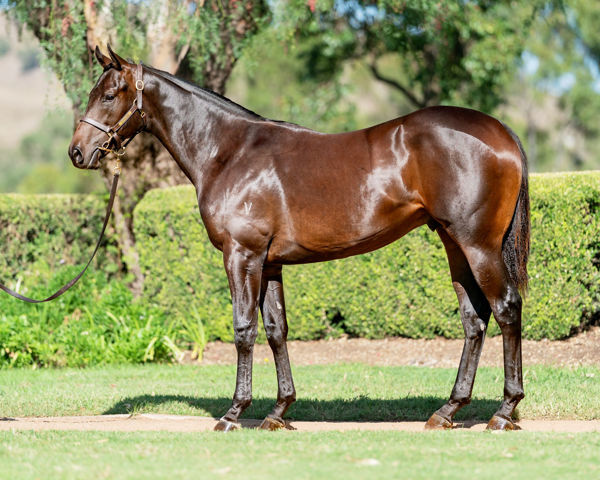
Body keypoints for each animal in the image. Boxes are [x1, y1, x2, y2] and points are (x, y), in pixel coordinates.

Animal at [69, 47, 528, 434]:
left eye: (108, 95)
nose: (77, 153)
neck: (229, 152)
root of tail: (501, 132)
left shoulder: (242, 255)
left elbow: (244, 329)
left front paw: (234, 413)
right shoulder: (269, 263)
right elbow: (276, 330)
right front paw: (278, 412)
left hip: (478, 245)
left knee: (506, 309)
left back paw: (504, 412)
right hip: (454, 246)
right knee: (474, 321)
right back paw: (448, 410)